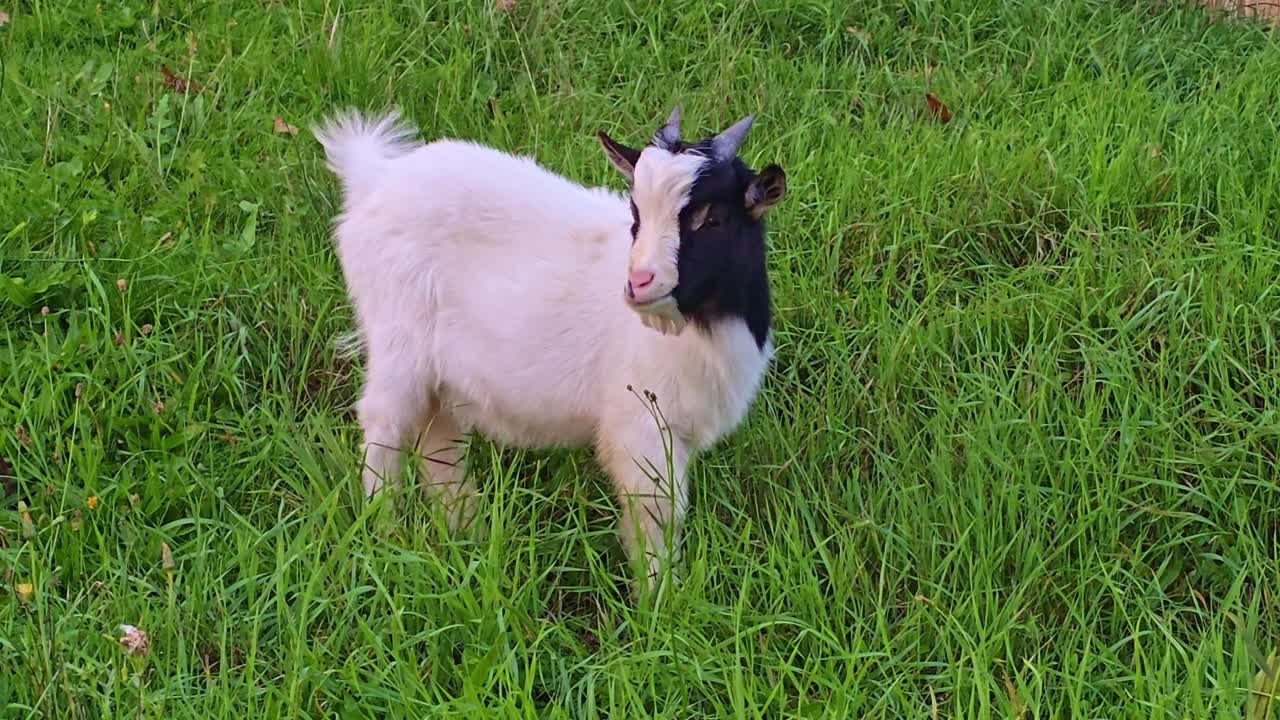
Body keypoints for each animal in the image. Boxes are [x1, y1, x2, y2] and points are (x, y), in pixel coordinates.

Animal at [312, 106, 787, 590]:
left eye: (712, 219)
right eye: (636, 211)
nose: (638, 282)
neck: (697, 326)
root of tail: (377, 177)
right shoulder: (641, 422)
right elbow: (657, 510)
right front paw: (658, 597)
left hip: (441, 376)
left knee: (439, 442)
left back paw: (467, 532)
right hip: (396, 341)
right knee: (383, 427)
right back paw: (384, 532)